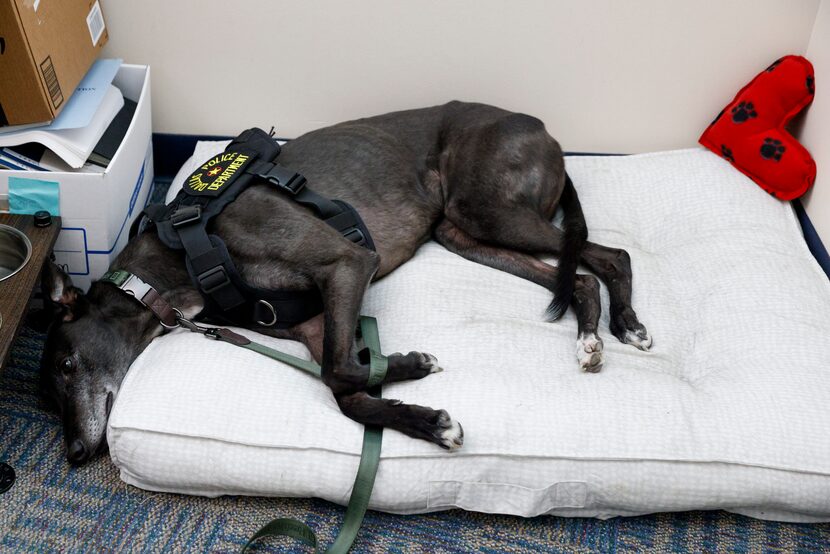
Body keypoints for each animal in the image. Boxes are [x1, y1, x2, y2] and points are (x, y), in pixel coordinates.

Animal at [39, 99, 652, 462]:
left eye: (67, 366)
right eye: (50, 398)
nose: (73, 453)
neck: (176, 263)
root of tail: (545, 131)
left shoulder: (346, 263)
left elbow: (339, 370)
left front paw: (412, 369)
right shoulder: (311, 324)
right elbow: (347, 392)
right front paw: (428, 418)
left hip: (487, 210)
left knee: (613, 255)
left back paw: (624, 326)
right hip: (464, 232)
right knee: (580, 278)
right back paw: (593, 336)